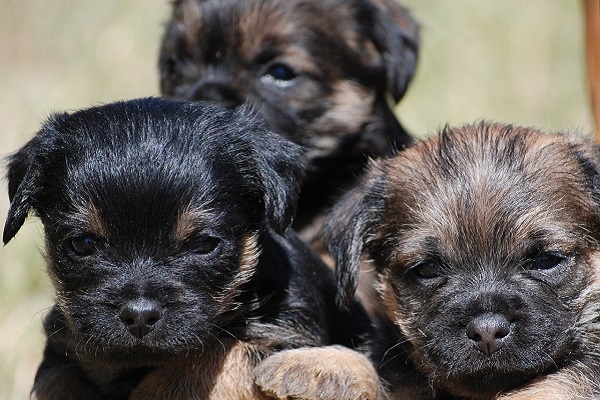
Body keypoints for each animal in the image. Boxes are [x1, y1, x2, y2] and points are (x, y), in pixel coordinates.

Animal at [4, 97, 378, 400]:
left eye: (202, 243)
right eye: (82, 244)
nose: (139, 315)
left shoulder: (289, 332)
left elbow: (216, 355)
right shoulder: (64, 345)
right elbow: (58, 378)